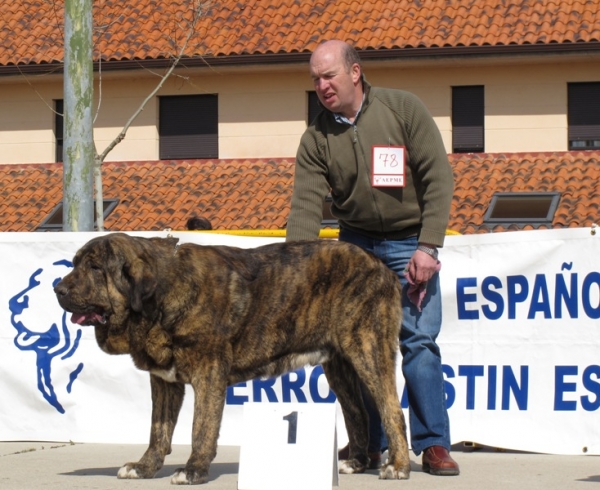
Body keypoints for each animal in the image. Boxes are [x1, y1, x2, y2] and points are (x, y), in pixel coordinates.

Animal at [54, 233, 410, 482]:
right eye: (75, 263)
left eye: (95, 268)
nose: (58, 289)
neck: (163, 294)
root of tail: (381, 267)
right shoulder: (164, 381)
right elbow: (158, 430)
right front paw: (145, 467)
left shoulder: (208, 372)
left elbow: (201, 427)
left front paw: (193, 470)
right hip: (339, 365)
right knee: (357, 412)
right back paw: (356, 462)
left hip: (367, 349)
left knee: (391, 410)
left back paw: (398, 467)